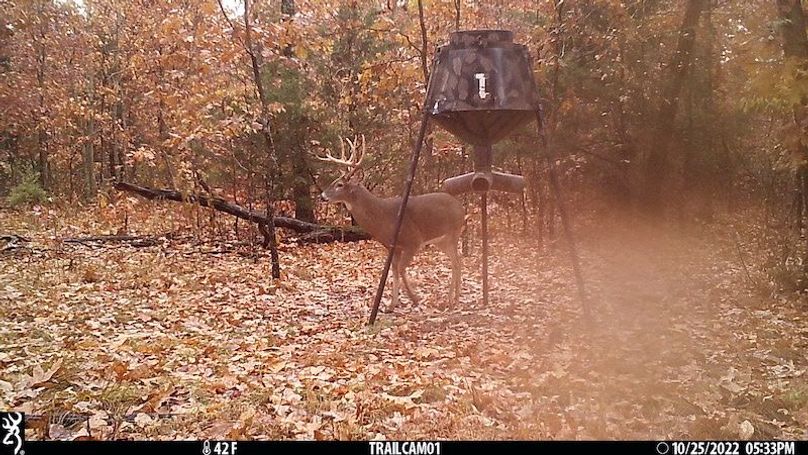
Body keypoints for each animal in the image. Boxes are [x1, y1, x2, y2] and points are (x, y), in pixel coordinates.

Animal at [317, 135, 466, 310]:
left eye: (339, 185)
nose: (322, 196)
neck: (383, 217)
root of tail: (461, 207)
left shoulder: (413, 241)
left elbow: (401, 269)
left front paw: (415, 299)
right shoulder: (393, 247)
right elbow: (394, 271)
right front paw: (392, 304)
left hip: (453, 232)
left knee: (457, 261)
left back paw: (453, 300)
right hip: (441, 241)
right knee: (456, 262)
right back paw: (452, 299)